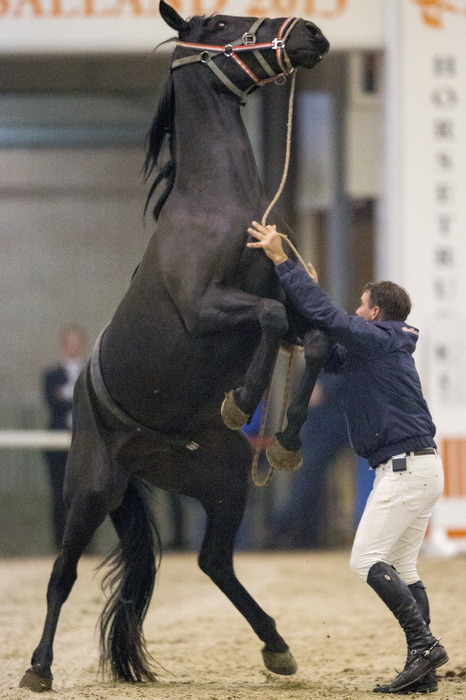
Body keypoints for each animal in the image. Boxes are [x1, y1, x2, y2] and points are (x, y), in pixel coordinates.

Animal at [20, 0, 330, 688]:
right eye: (217, 25)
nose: (311, 32)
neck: (218, 209)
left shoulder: (291, 310)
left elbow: (315, 340)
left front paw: (287, 439)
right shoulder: (204, 309)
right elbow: (269, 316)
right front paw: (242, 401)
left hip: (224, 483)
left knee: (215, 563)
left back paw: (277, 645)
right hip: (89, 490)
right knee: (61, 577)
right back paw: (39, 668)